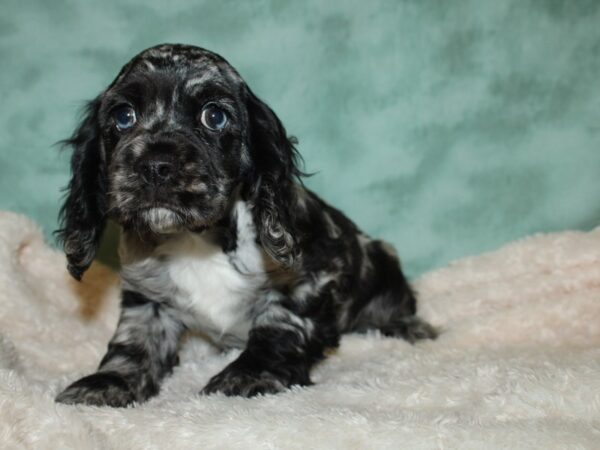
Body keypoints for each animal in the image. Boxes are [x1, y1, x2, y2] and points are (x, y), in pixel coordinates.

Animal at [55, 44, 436, 406]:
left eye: (214, 116)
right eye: (123, 116)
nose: (155, 166)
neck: (197, 242)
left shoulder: (314, 276)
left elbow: (280, 325)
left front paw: (248, 375)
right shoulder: (146, 298)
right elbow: (133, 342)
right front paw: (107, 383)